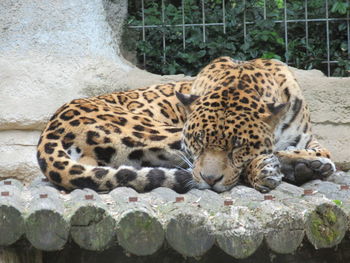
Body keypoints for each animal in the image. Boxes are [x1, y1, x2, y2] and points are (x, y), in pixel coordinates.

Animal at [37, 56, 334, 193]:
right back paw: (295, 168)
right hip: (154, 131)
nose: (210, 180)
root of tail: (51, 127)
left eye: (238, 146)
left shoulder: (312, 140)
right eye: (198, 141)